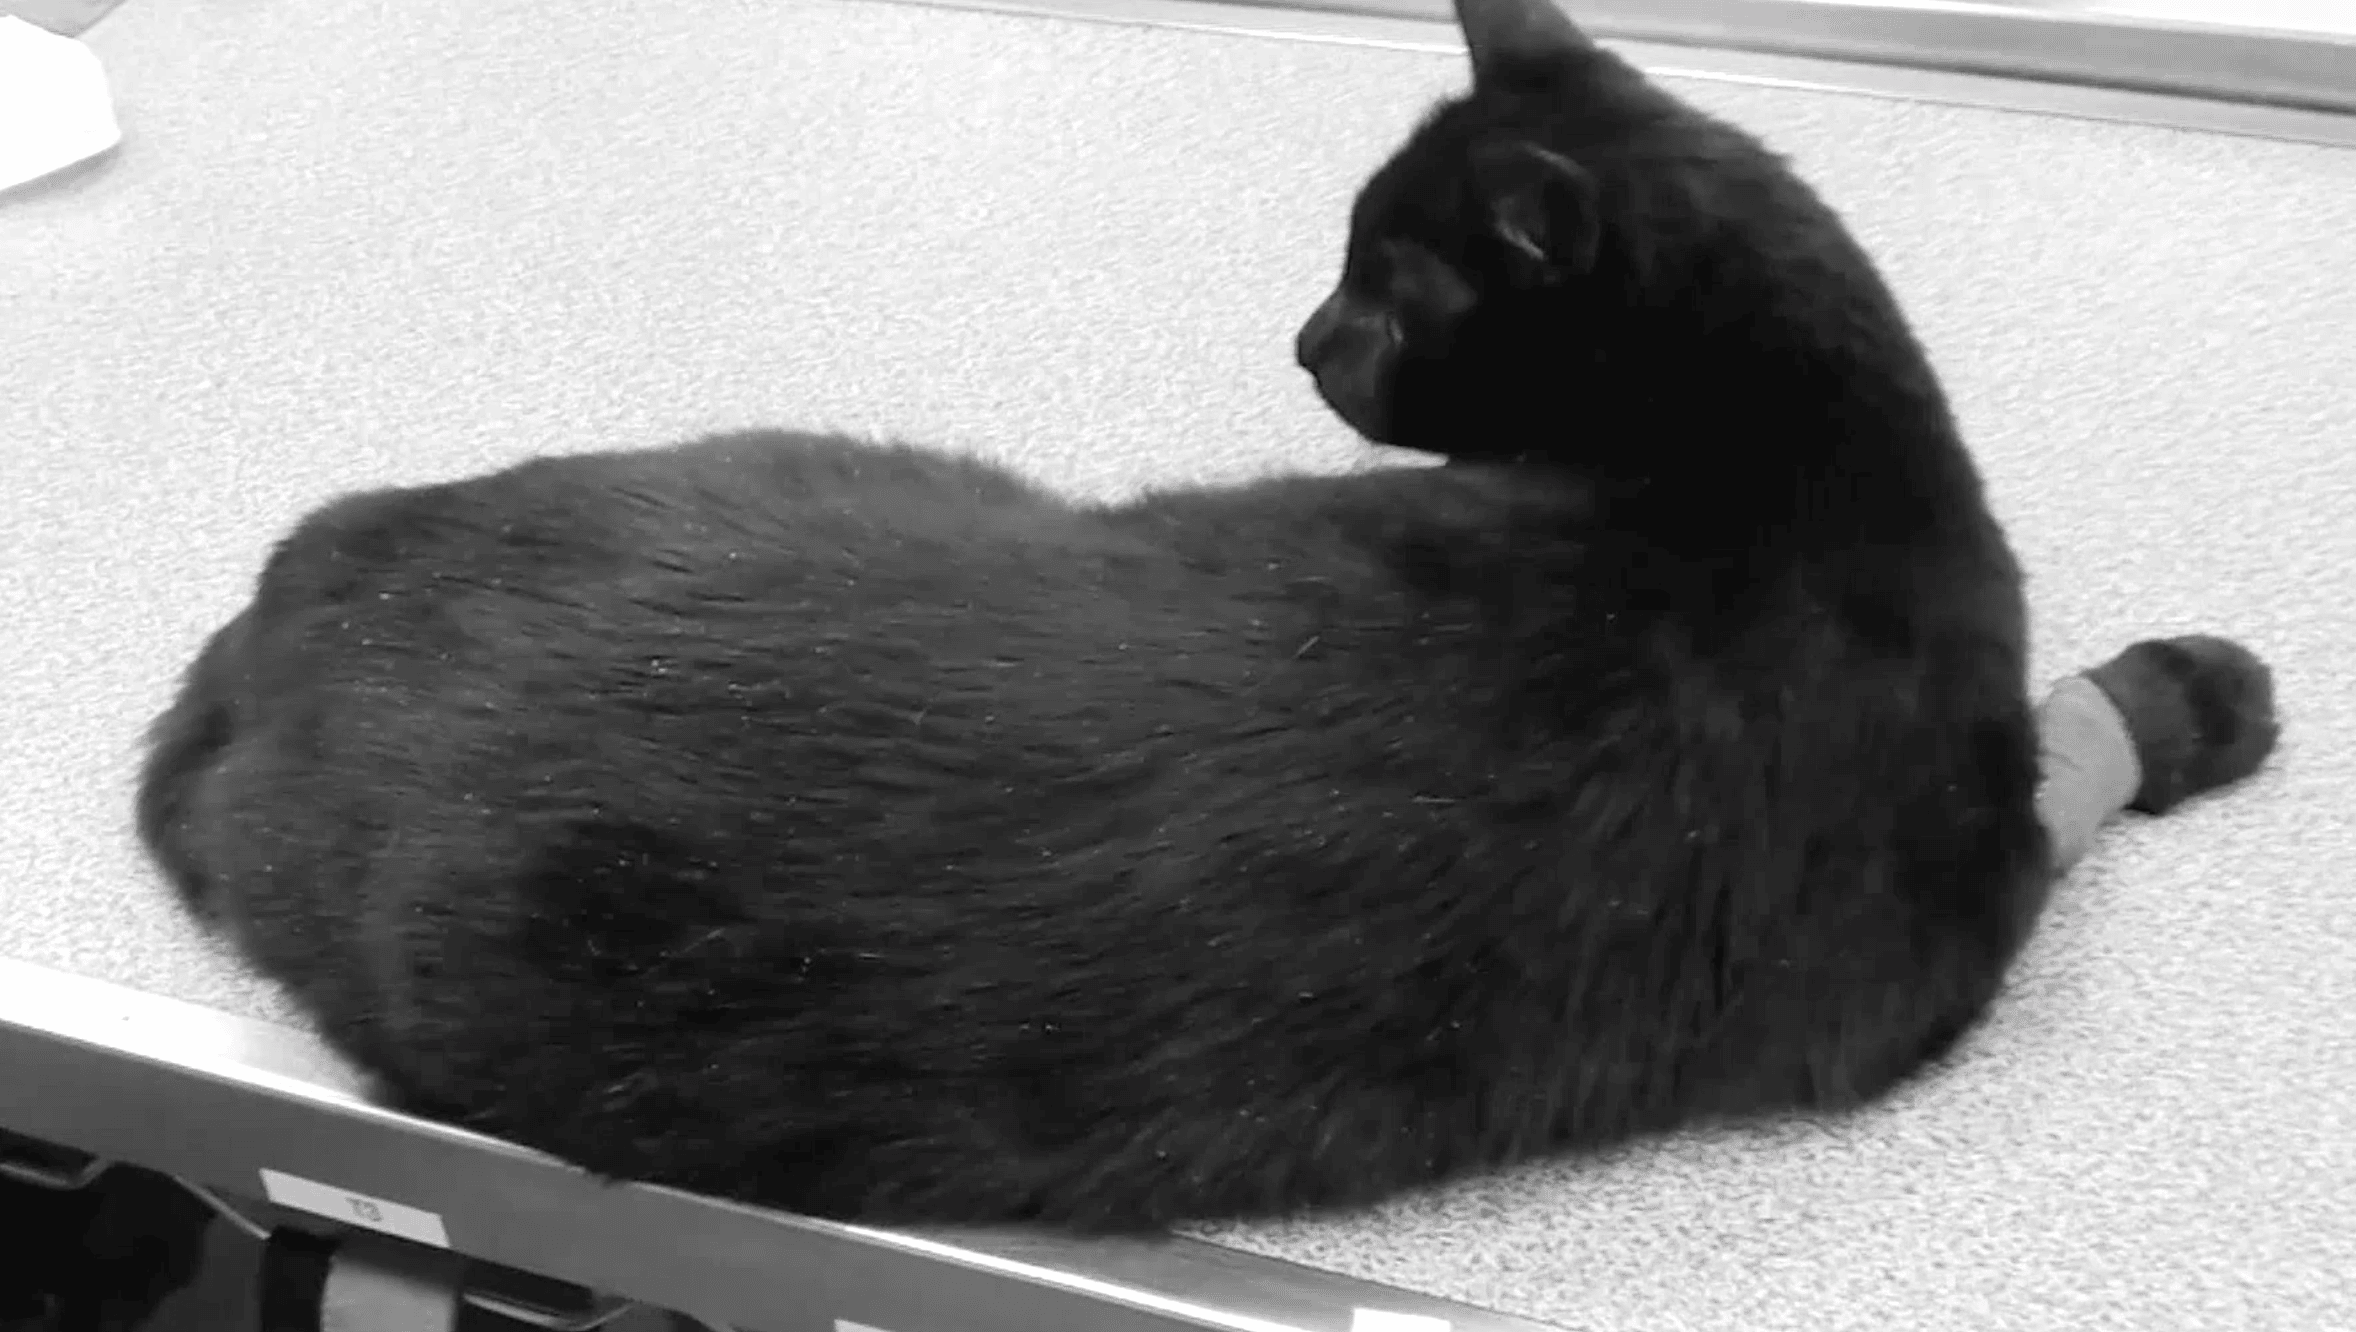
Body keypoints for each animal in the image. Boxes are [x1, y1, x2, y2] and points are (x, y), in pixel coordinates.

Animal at [136, 0, 2277, 1232]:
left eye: (1389, 293)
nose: (1306, 336)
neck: (1772, 439)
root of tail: (290, 617)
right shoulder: (1957, 897)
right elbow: (2090, 730)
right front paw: (2210, 690)